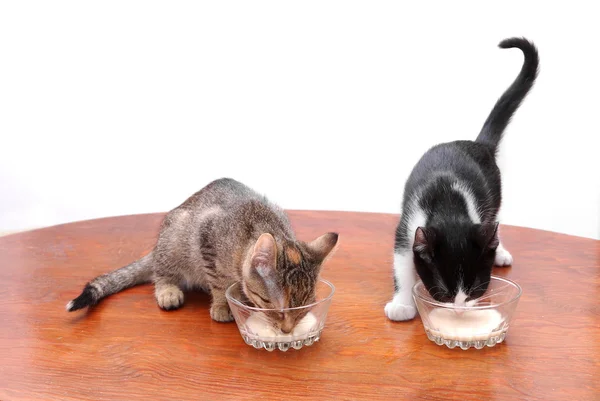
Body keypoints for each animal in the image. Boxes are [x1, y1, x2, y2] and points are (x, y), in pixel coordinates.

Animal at [66, 177, 340, 332]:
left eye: (302, 310)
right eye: (271, 304)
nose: (286, 331)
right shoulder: (206, 237)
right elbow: (219, 283)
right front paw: (222, 305)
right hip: (174, 238)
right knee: (160, 271)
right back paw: (167, 290)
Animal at [384, 36, 540, 318]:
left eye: (475, 291)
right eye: (444, 293)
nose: (458, 310)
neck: (449, 203)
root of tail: (478, 144)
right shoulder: (407, 225)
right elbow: (401, 261)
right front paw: (402, 304)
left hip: (494, 192)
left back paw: (500, 251)